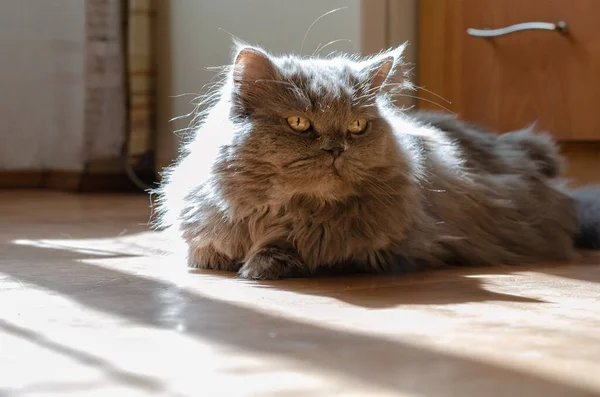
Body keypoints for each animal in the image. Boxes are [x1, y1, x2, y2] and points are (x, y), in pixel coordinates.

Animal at [156, 42, 600, 278]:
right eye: (300, 123)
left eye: (356, 126)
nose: (336, 148)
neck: (281, 211)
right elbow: (204, 251)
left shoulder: (393, 250)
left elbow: (307, 248)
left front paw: (263, 263)